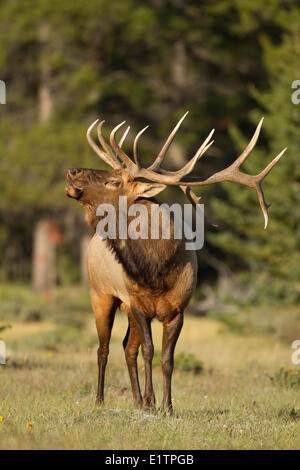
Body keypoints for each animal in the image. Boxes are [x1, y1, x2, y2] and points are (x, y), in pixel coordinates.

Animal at [65, 113, 286, 412]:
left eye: (114, 181)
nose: (72, 171)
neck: (155, 271)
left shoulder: (178, 310)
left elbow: (168, 359)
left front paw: (166, 406)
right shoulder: (138, 305)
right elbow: (149, 351)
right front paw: (151, 402)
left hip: (119, 304)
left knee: (126, 347)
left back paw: (135, 400)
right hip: (101, 294)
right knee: (104, 349)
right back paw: (100, 400)